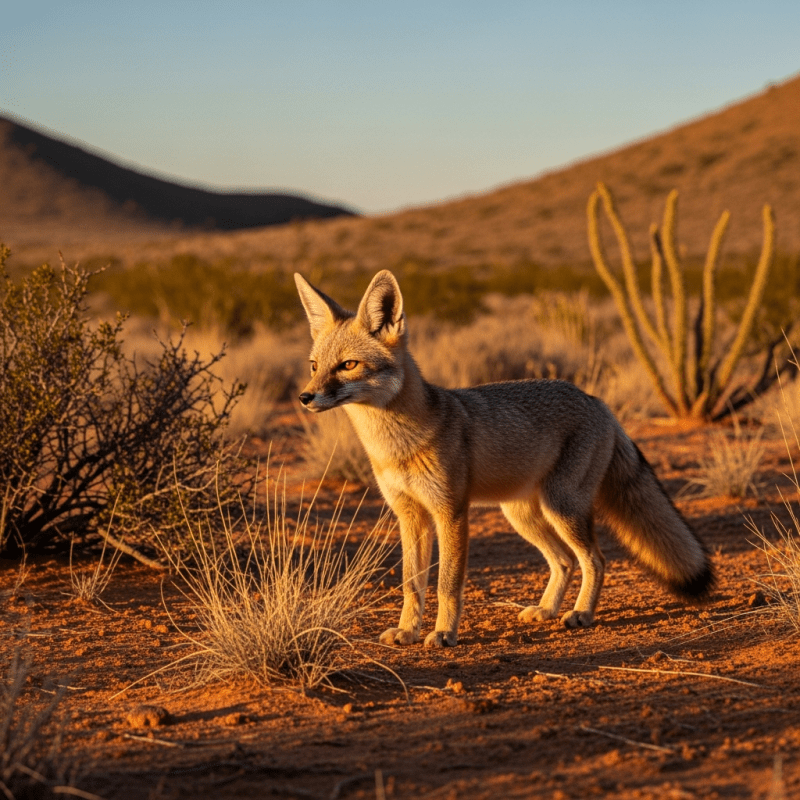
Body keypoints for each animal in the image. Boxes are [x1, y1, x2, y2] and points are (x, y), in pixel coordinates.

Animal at [294, 269, 714, 648]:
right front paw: (408, 631)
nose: (305, 397)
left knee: (595, 559)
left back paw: (582, 613)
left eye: (348, 365)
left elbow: (447, 583)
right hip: (522, 515)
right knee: (563, 561)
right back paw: (546, 610)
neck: (397, 446)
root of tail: (598, 401)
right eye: (314, 366)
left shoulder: (450, 513)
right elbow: (412, 585)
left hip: (561, 508)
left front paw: (444, 634)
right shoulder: (409, 516)